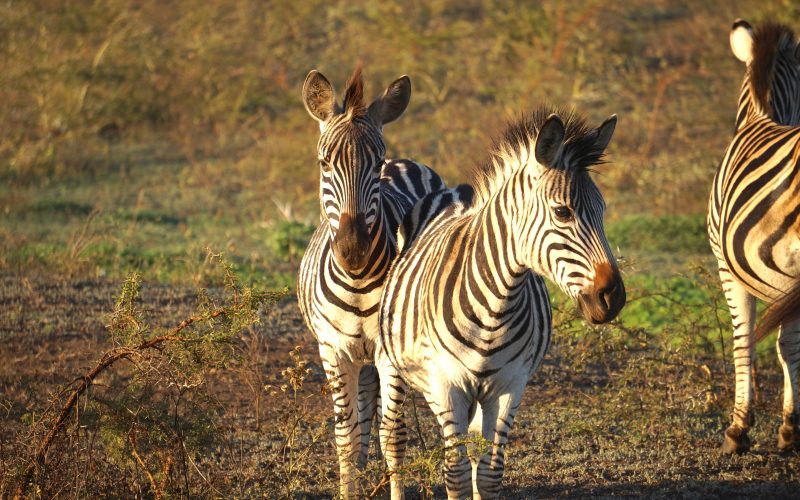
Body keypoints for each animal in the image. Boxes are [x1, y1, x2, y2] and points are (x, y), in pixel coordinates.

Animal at [296, 67, 446, 496]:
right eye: (323, 162)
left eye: (375, 163)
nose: (353, 250)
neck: (358, 282)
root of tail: (405, 161)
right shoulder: (333, 351)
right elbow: (347, 437)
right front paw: (351, 488)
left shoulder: (388, 354)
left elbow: (392, 436)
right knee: (362, 420)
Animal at [378, 107, 628, 498]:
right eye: (563, 213)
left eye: (603, 211)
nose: (613, 296)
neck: (495, 308)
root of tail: (452, 192)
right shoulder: (447, 385)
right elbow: (456, 473)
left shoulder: (511, 385)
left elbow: (489, 473)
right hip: (392, 363)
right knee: (392, 438)